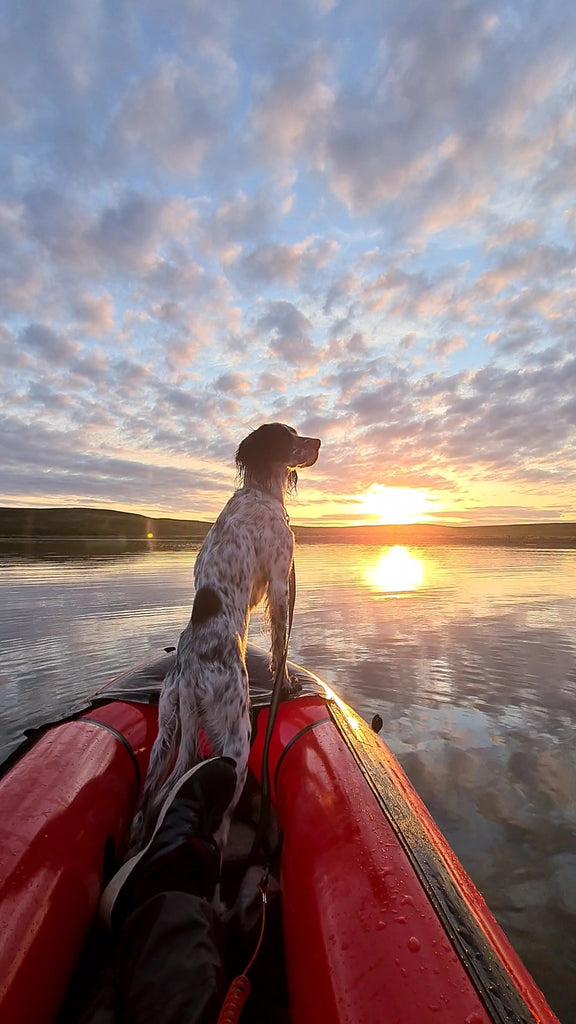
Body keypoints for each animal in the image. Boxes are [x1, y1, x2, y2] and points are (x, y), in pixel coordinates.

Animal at [126, 423, 319, 856]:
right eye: (290, 436)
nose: (318, 442)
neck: (262, 490)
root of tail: (188, 672)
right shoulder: (280, 579)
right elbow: (281, 642)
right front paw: (288, 682)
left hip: (167, 730)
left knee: (146, 802)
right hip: (235, 735)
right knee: (212, 812)